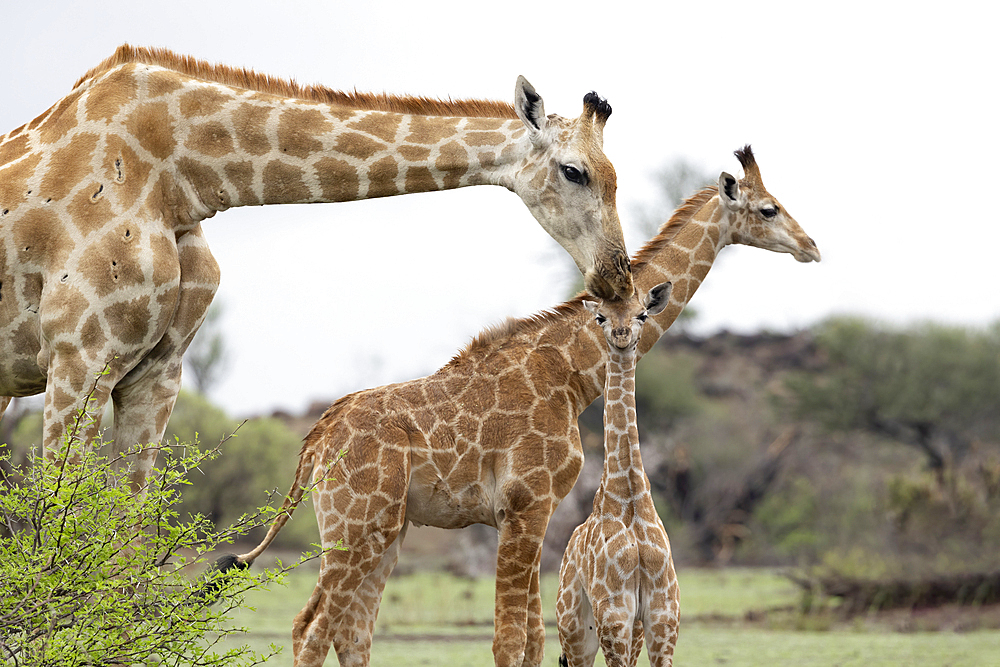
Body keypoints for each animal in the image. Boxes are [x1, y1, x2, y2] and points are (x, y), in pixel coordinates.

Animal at [0, 44, 628, 488]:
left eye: (615, 175)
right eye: (575, 171)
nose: (616, 275)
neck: (181, 178)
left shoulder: (158, 371)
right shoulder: (80, 358)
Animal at [556, 282, 680, 667]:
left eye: (642, 314)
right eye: (600, 317)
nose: (622, 335)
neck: (630, 499)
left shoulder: (662, 614)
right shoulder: (613, 614)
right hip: (574, 628)